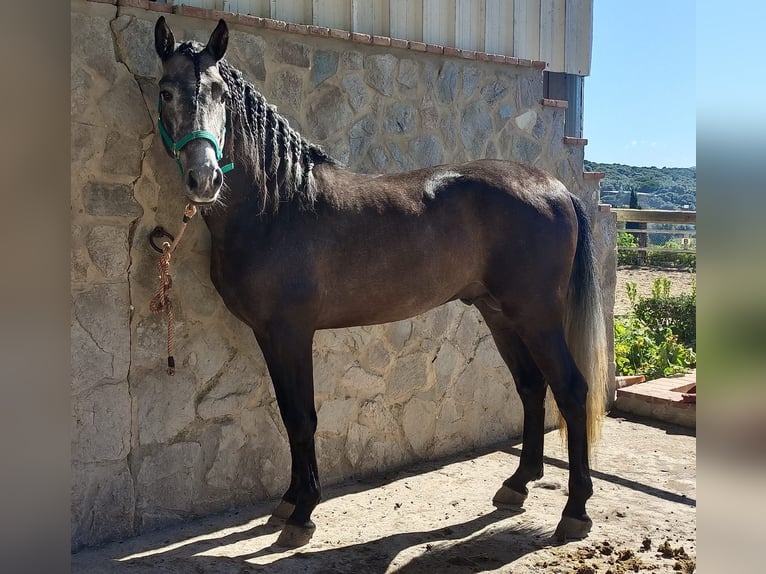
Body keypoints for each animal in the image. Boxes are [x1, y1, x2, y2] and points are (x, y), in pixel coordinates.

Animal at [152, 16, 608, 548]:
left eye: (220, 93)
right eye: (166, 91)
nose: (204, 178)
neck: (277, 205)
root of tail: (554, 187)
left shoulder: (291, 333)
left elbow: (303, 417)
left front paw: (303, 513)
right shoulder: (268, 335)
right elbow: (288, 414)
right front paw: (288, 502)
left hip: (537, 315)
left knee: (571, 390)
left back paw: (575, 511)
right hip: (500, 314)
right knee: (532, 387)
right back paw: (517, 484)